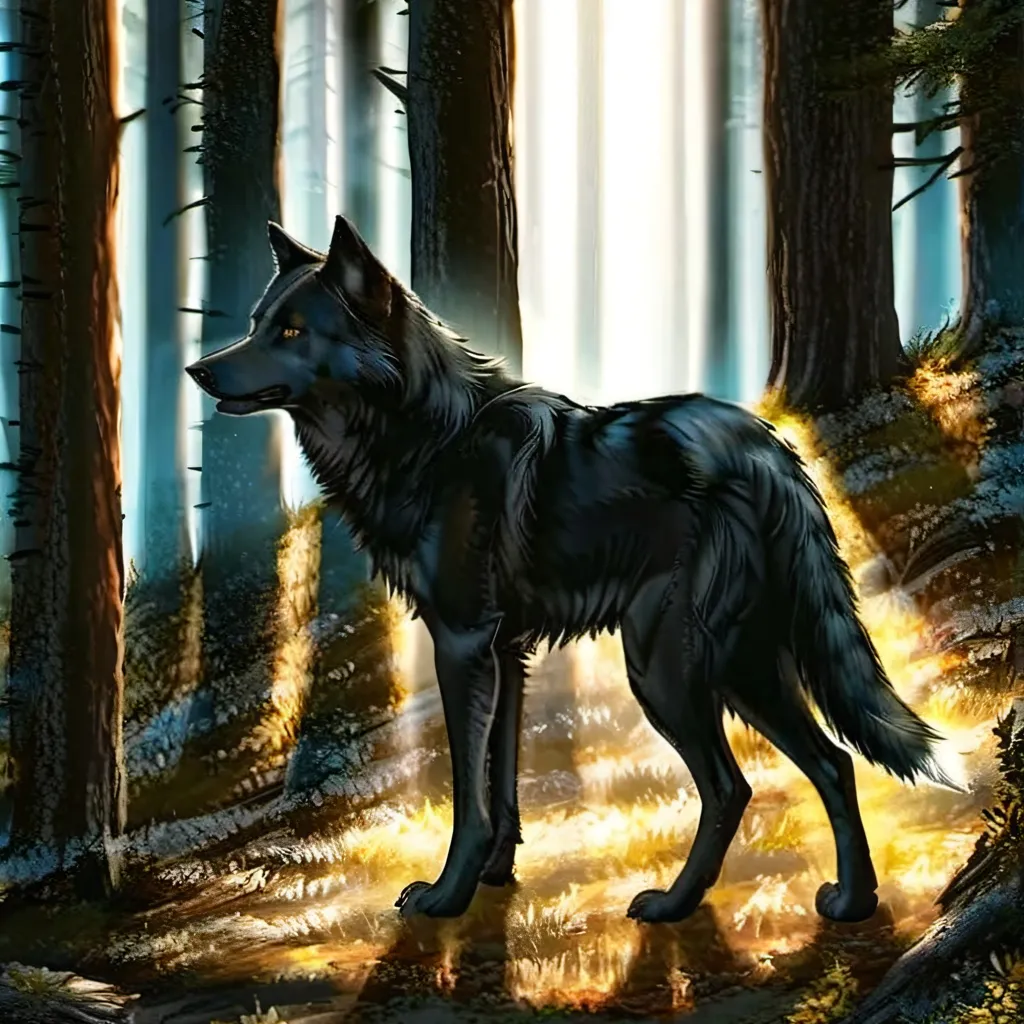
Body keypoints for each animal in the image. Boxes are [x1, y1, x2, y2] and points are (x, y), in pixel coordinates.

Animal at [186, 215, 955, 925]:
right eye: (257, 325)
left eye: (291, 332)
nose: (199, 371)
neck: (430, 438)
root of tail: (768, 449)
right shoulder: (504, 651)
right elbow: (500, 781)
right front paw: (494, 875)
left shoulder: (462, 644)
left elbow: (467, 792)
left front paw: (447, 895)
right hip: (741, 660)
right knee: (832, 763)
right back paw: (851, 901)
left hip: (669, 666)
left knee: (737, 784)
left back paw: (677, 904)